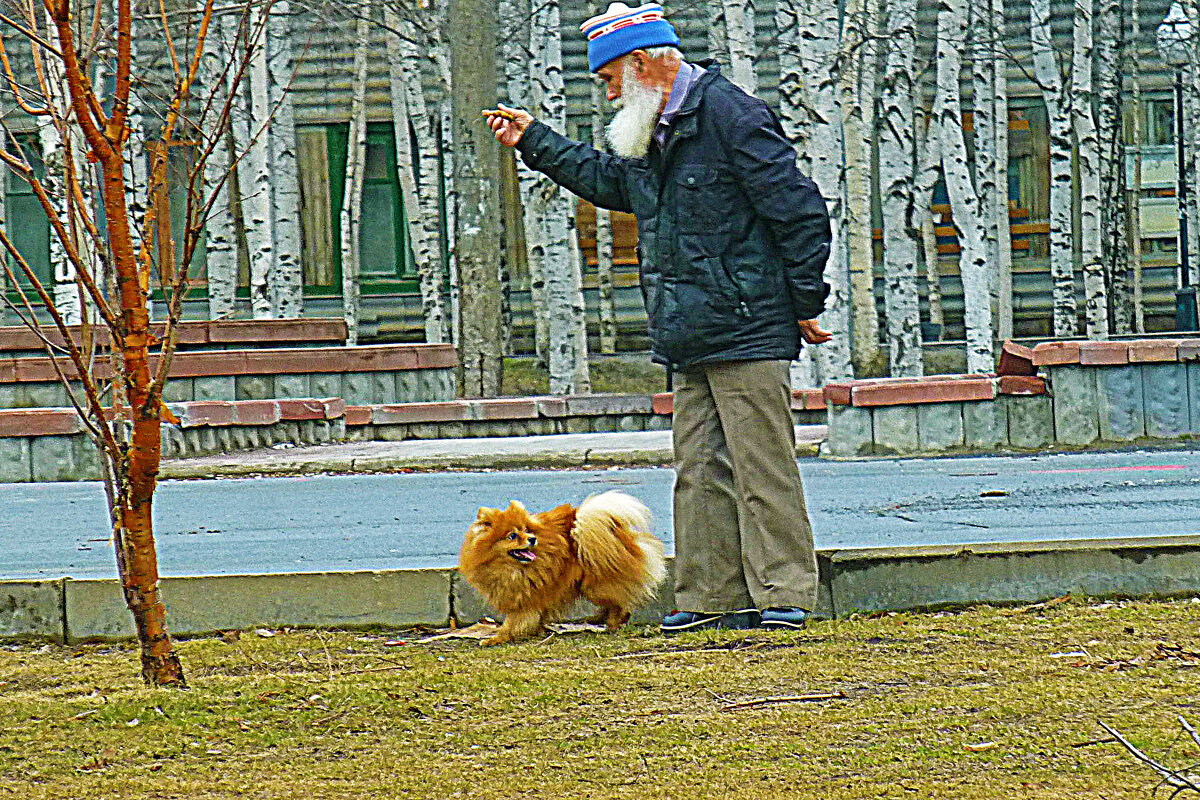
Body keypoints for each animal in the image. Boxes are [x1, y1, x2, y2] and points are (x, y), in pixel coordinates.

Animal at [456, 491, 667, 647]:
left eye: (527, 530)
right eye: (512, 536)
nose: (532, 539)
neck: (510, 567)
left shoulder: (524, 596)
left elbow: (513, 622)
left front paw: (497, 638)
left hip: (597, 587)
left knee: (621, 604)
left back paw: (612, 623)